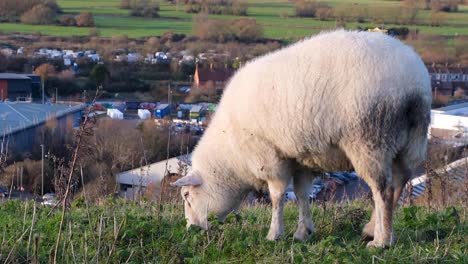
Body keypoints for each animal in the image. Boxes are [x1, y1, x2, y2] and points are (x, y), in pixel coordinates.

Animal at [172, 29, 432, 249]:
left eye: (187, 196)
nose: (191, 229)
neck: (231, 155)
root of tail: (414, 84)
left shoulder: (270, 158)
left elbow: (277, 197)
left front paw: (274, 234)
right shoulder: (302, 159)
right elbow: (301, 194)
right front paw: (302, 231)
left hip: (369, 140)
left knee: (383, 190)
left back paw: (381, 241)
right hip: (411, 141)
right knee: (399, 182)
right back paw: (371, 229)